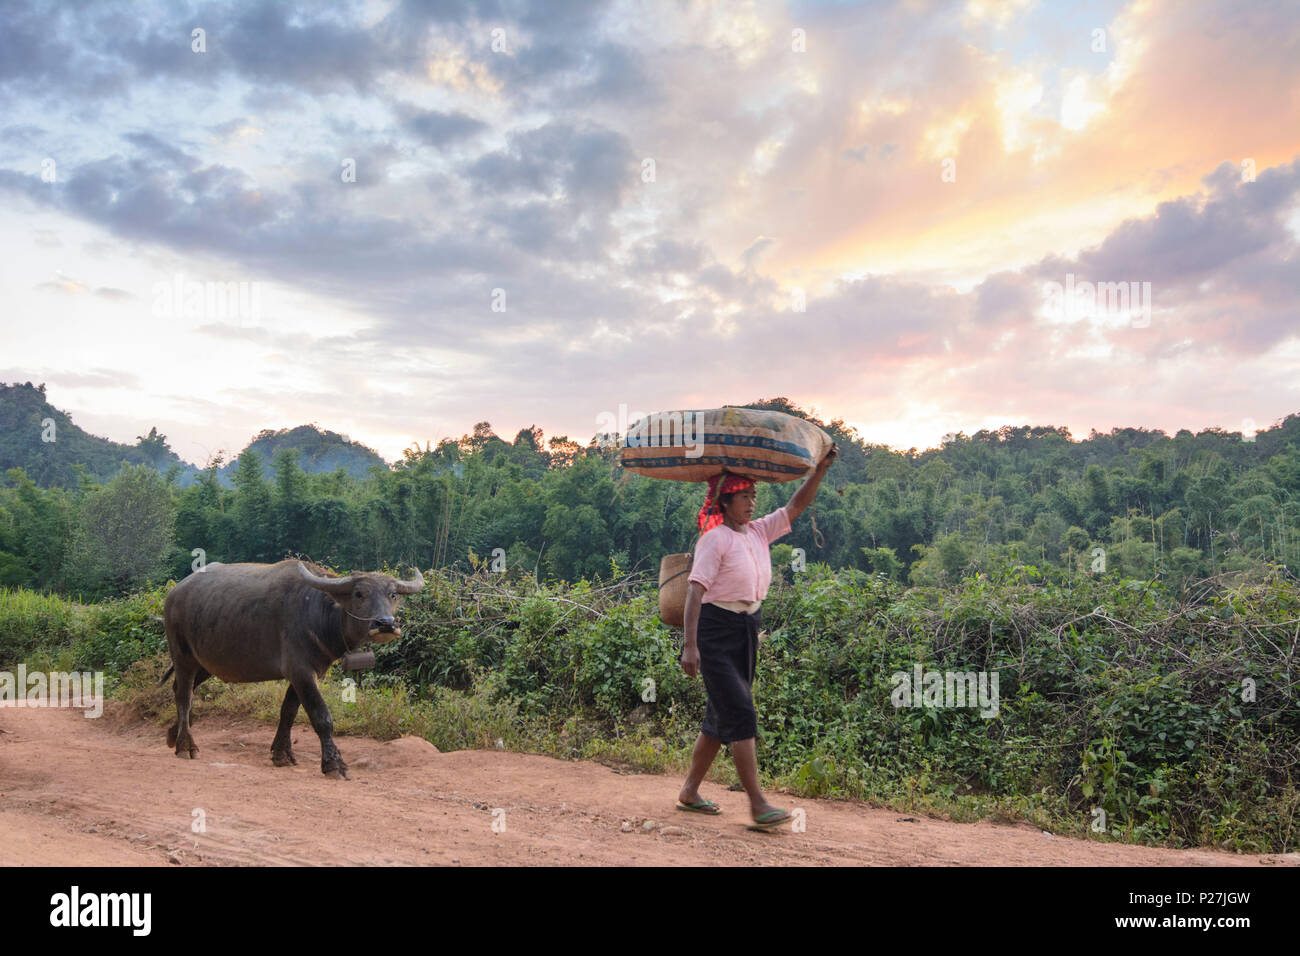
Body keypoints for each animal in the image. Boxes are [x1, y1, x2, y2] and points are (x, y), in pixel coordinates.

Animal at [160, 561, 426, 780]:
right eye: (359, 593)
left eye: (393, 594)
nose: (386, 624)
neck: (318, 613)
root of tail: (174, 593)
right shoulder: (300, 671)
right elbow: (321, 717)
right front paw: (334, 764)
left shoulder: (304, 673)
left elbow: (288, 711)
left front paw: (281, 753)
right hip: (183, 655)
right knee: (184, 695)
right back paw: (186, 746)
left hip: (206, 663)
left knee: (181, 689)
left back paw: (173, 734)